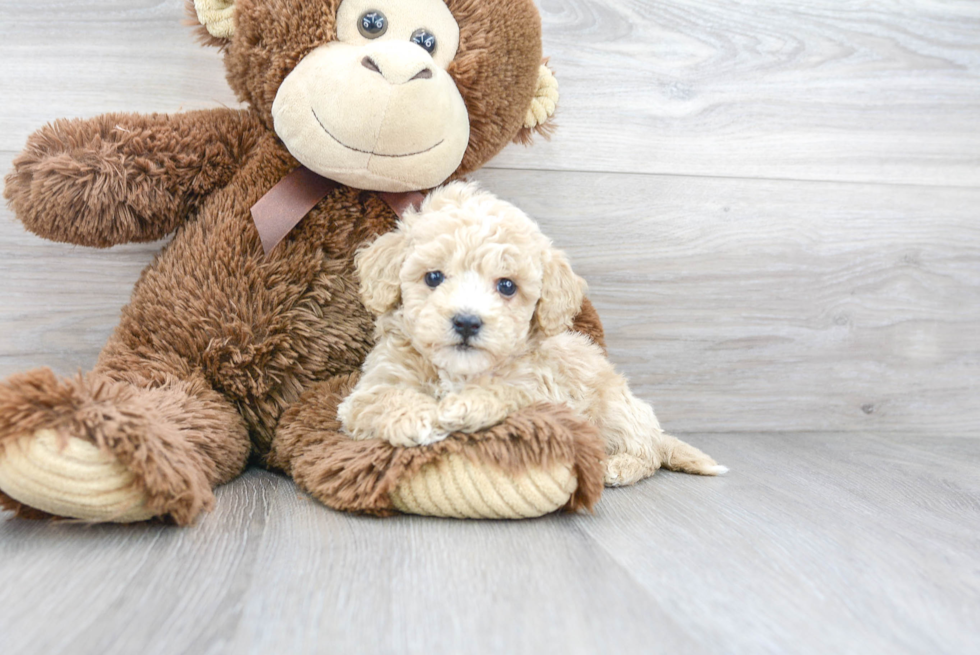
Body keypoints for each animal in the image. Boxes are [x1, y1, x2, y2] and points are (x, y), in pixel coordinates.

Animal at [338, 182, 728, 484]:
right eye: (433, 277)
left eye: (507, 286)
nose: (467, 322)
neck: (459, 372)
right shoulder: (366, 392)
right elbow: (383, 398)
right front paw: (417, 418)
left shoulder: (545, 395)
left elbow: (508, 392)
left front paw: (464, 406)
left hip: (615, 407)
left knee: (647, 452)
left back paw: (619, 466)